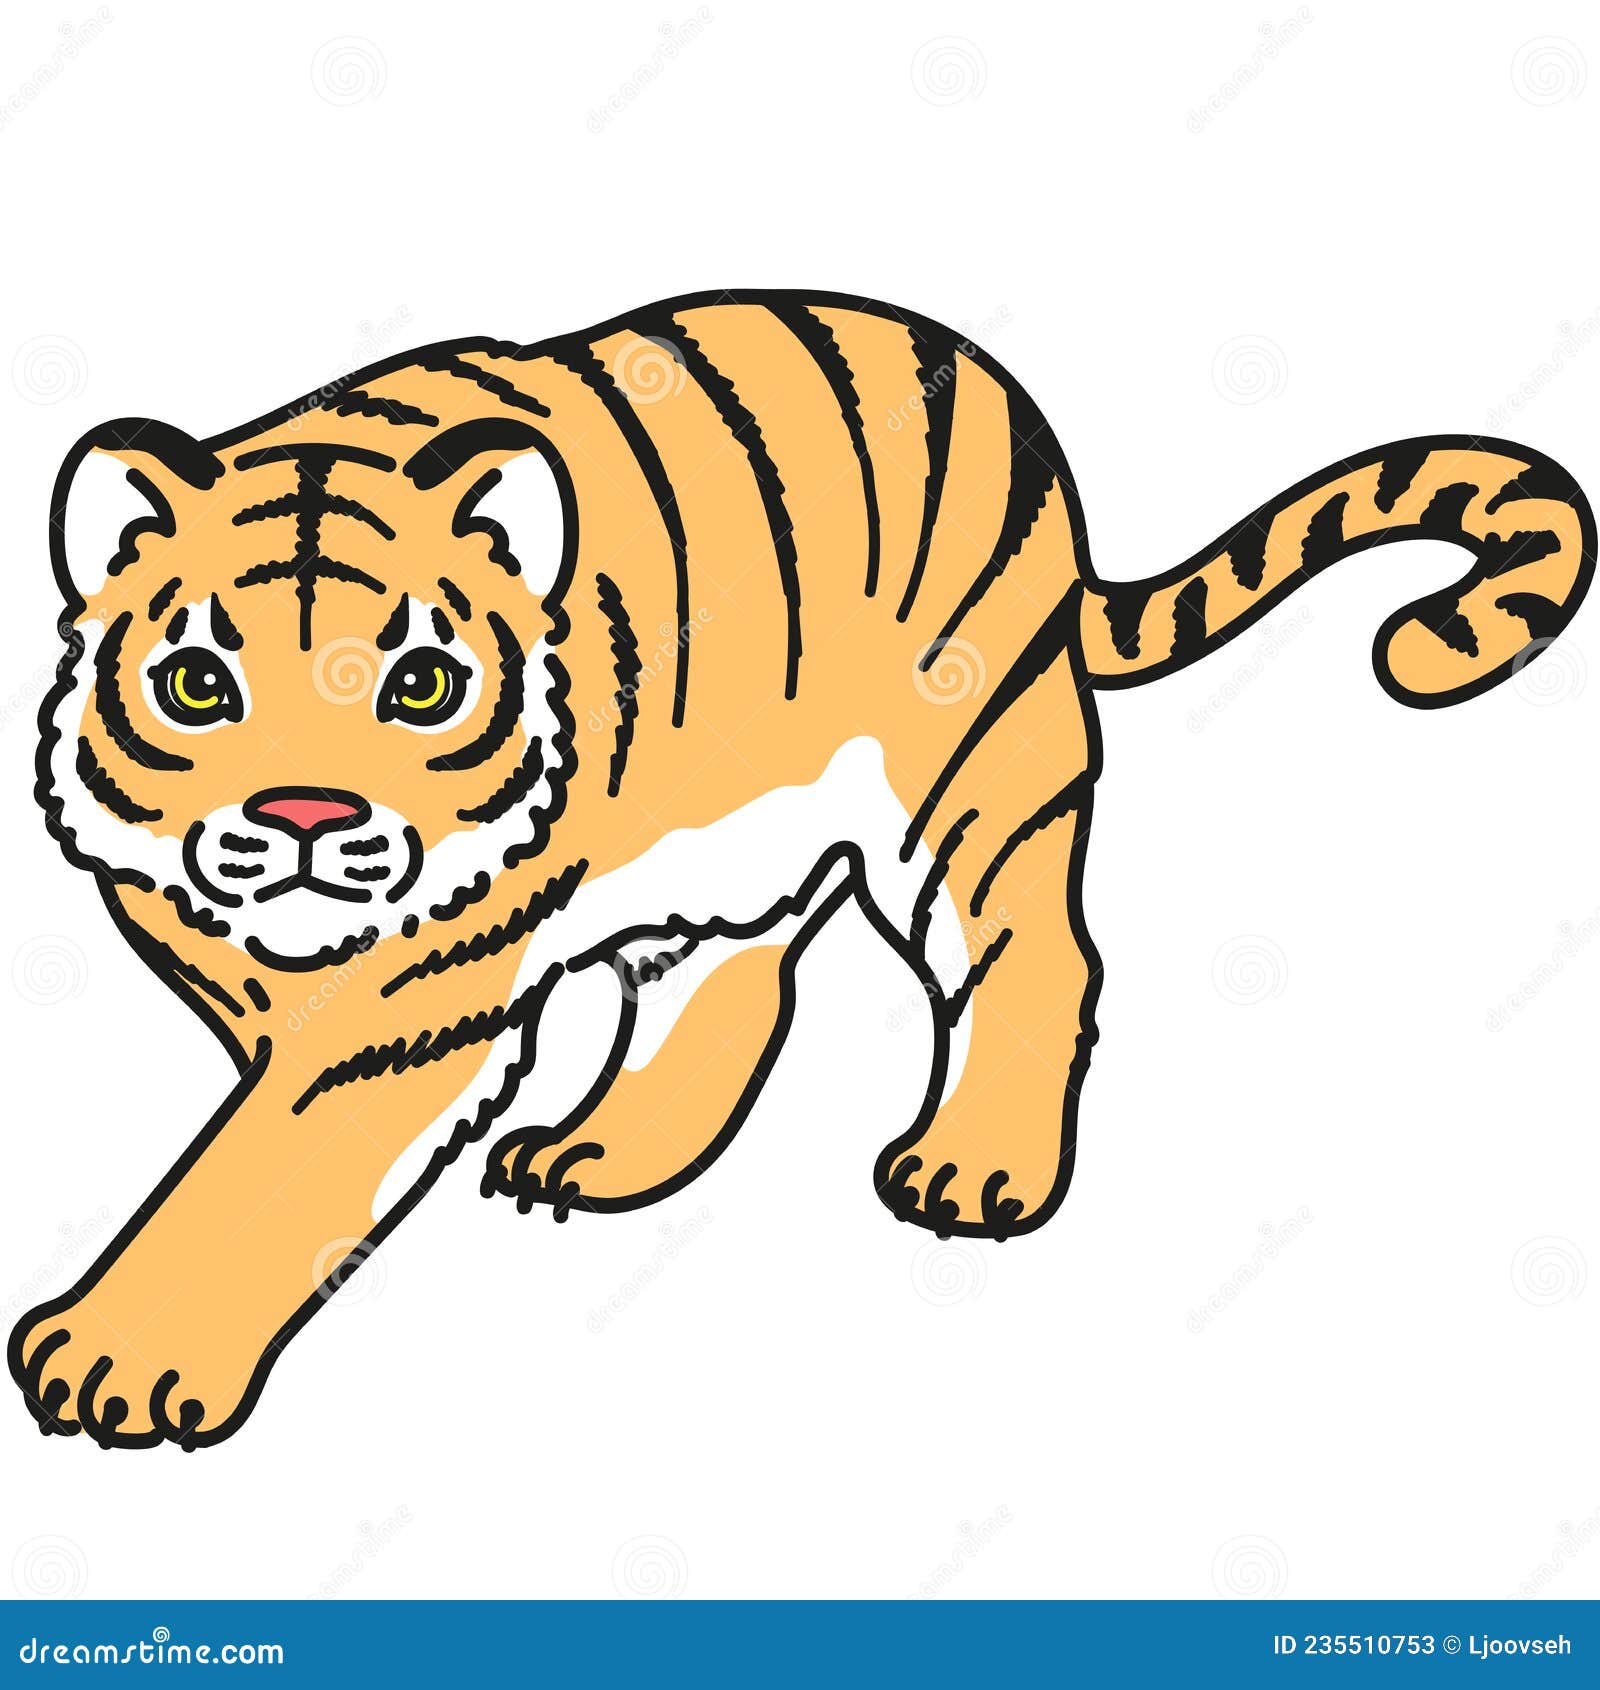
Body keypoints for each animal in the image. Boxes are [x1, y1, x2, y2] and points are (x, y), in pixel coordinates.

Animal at [10, 290, 1593, 1449]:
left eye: (420, 683)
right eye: (199, 683)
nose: (301, 819)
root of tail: (1014, 405)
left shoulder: (401, 1015)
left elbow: (253, 1171)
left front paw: (110, 1358)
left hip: (969, 788)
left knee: (1036, 956)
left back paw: (974, 1170)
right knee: (738, 982)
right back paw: (600, 1154)